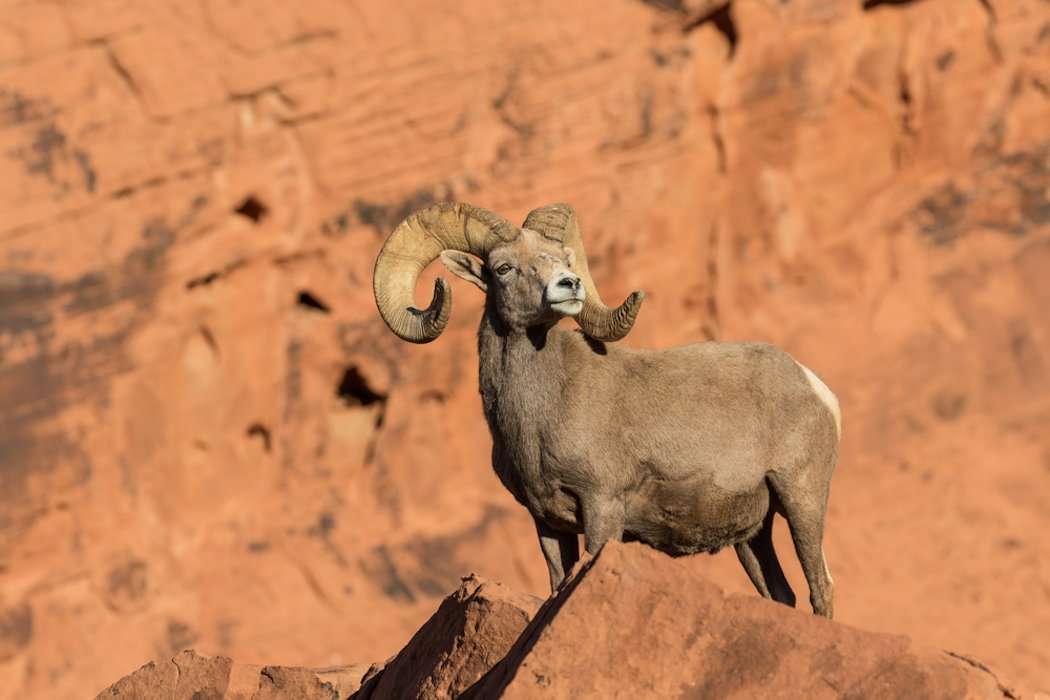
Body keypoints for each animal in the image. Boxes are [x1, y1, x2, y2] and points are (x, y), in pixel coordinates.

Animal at [372, 202, 841, 618]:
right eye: (502, 268)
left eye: (564, 258)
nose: (569, 284)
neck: (540, 417)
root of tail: (814, 386)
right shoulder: (547, 523)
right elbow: (556, 586)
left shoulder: (603, 507)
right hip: (752, 536)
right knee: (782, 596)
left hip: (801, 498)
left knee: (820, 589)